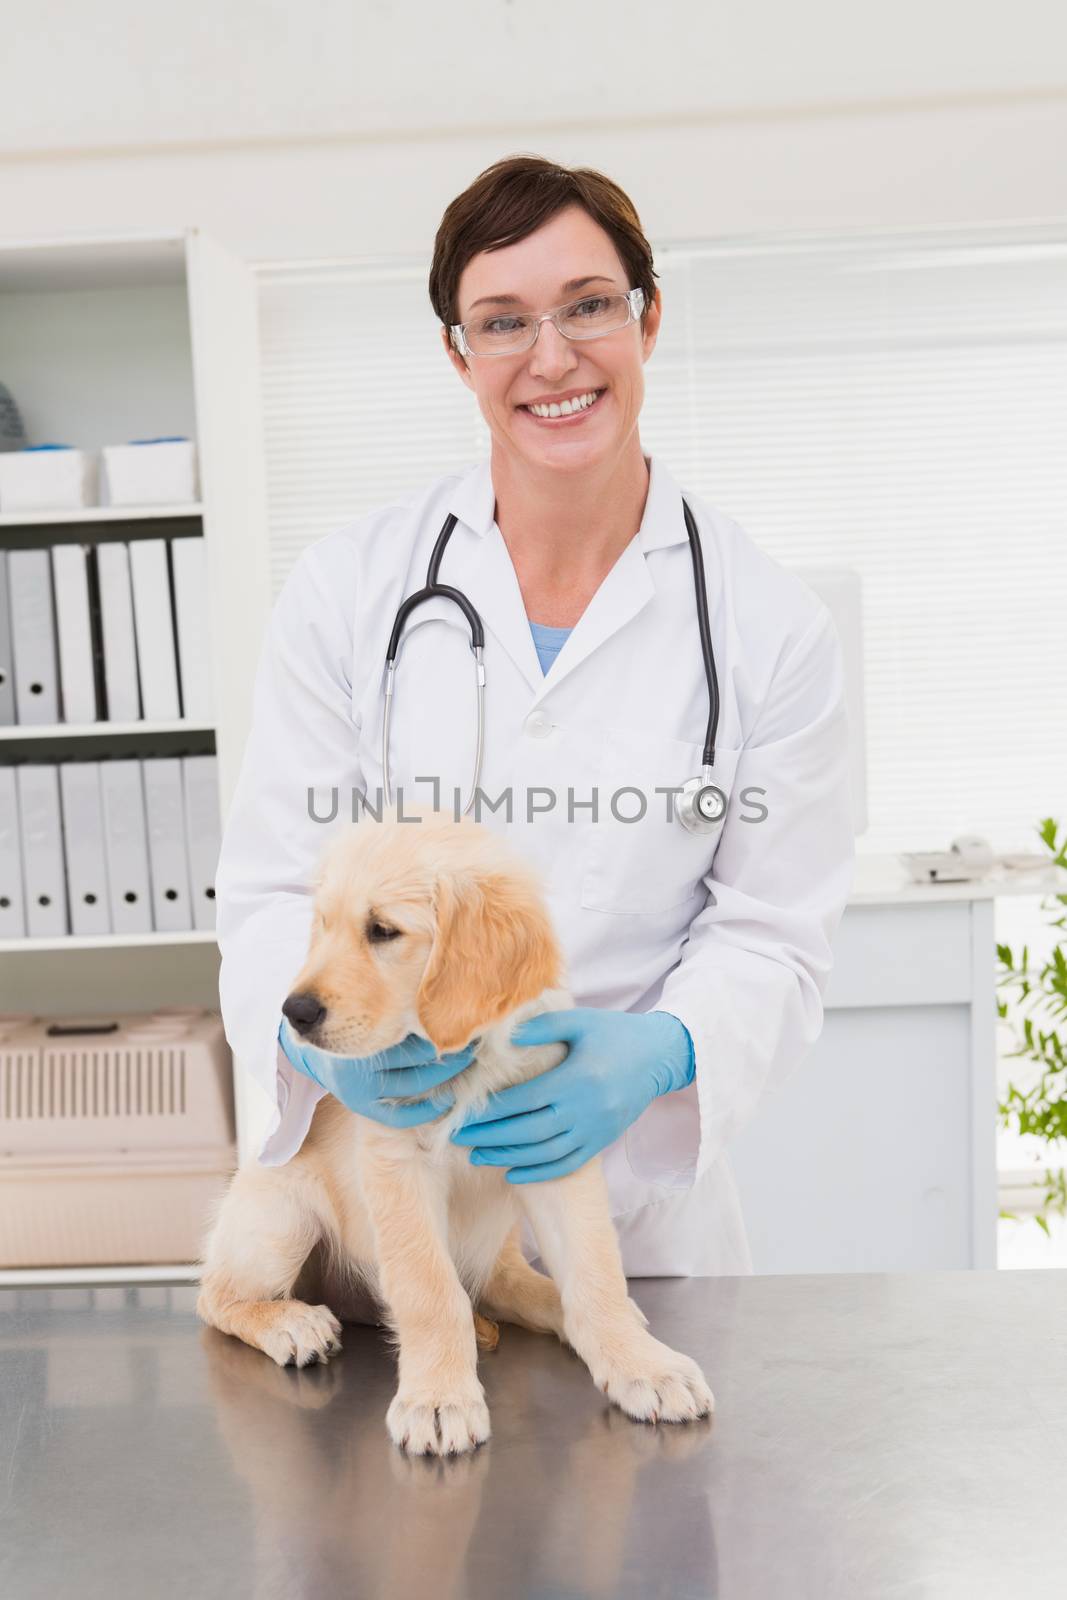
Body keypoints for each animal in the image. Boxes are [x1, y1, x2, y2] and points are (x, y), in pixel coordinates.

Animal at [199, 806, 716, 1459]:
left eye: (382, 931)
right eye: (323, 926)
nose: (294, 1013)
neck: (472, 1056)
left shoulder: (556, 1153)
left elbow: (595, 1271)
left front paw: (643, 1366)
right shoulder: (397, 1167)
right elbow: (430, 1290)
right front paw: (439, 1398)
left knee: (510, 1285)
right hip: (280, 1217)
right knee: (215, 1294)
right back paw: (291, 1321)